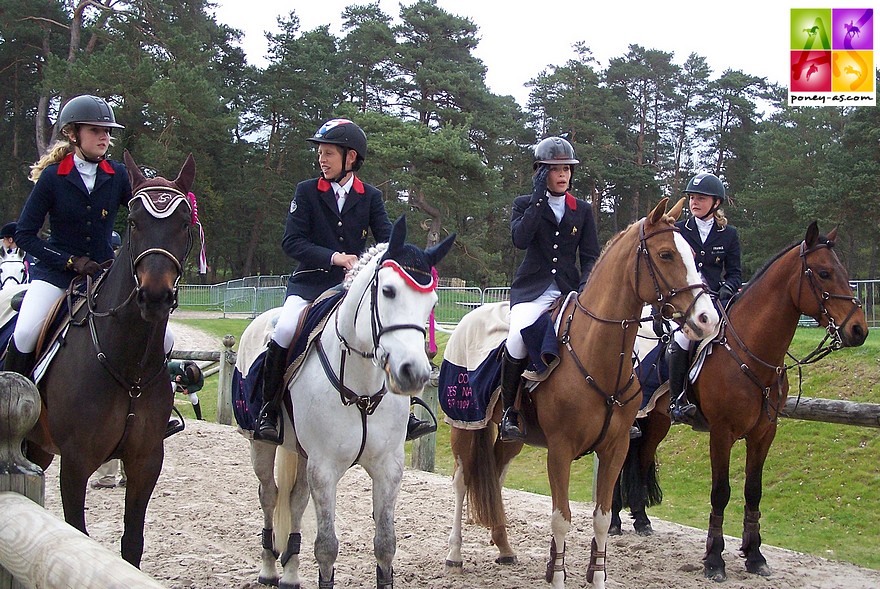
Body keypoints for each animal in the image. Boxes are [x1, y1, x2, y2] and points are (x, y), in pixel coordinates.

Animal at [21, 152, 197, 564]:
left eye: (184, 224)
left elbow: (132, 543)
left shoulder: (146, 460)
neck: (129, 364)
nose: (154, 296)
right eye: (133, 222)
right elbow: (77, 535)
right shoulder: (75, 462)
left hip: (40, 446)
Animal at [237, 217, 458, 588]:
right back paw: (269, 568)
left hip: (302, 453)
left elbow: (385, 544)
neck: (362, 390)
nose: (413, 373)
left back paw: (290, 573)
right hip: (260, 444)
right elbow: (327, 548)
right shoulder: (324, 468)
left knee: (295, 501)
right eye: (388, 291)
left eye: (432, 303)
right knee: (269, 496)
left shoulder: (387, 467)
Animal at [444, 198, 720, 588]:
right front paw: (557, 575)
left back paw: (504, 547)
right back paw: (454, 554)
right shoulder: (560, 451)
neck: (596, 353)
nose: (708, 319)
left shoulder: (615, 449)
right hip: (466, 424)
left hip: (513, 437)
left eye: (695, 256)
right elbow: (561, 519)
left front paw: (598, 577)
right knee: (461, 480)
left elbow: (602, 519)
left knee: (494, 475)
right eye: (666, 255)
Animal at [612, 220, 868, 580]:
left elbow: (753, 491)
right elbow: (721, 493)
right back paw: (614, 521)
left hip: (658, 420)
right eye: (824, 273)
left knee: (643, 457)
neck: (751, 352)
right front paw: (714, 560)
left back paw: (641, 520)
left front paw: (755, 555)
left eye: (843, 272)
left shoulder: (764, 433)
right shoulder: (722, 433)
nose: (859, 329)